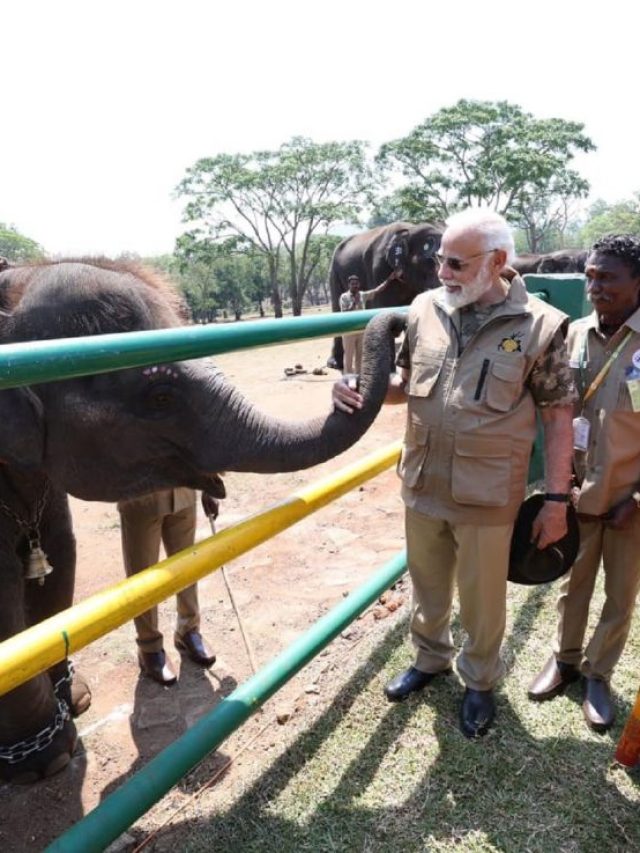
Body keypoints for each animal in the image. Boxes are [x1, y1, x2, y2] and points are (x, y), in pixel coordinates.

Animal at [328, 221, 442, 368]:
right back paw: (335, 364)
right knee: (337, 308)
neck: (410, 229)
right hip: (334, 273)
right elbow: (382, 309)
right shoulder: (379, 269)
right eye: (430, 261)